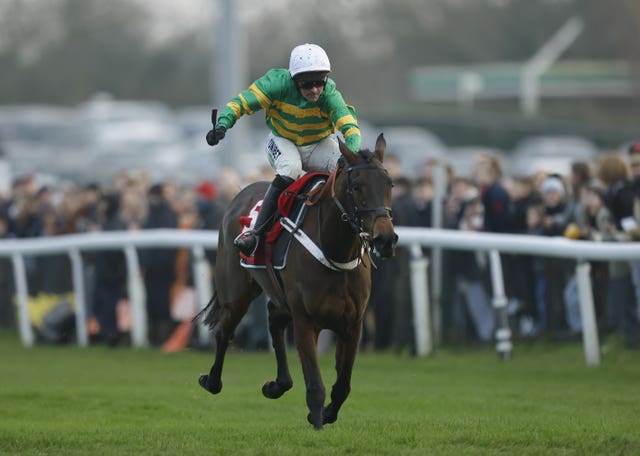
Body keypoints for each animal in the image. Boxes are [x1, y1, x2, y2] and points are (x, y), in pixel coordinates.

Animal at [198, 134, 398, 430]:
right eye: (357, 186)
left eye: (389, 184)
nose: (385, 240)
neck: (334, 250)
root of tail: (240, 194)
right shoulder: (306, 321)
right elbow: (315, 385)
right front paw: (317, 425)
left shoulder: (353, 324)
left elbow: (343, 385)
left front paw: (327, 414)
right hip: (236, 290)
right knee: (225, 330)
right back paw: (212, 381)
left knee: (274, 319)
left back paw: (277, 385)